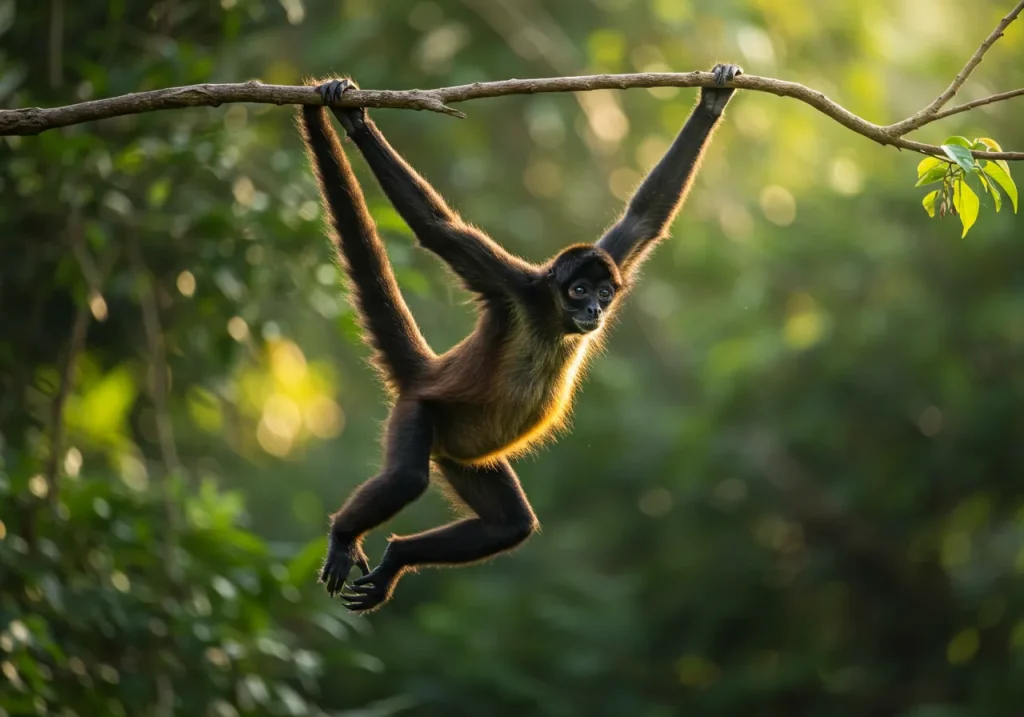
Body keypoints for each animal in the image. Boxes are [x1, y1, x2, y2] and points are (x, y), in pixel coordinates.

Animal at [297, 63, 741, 612]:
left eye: (602, 293)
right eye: (578, 291)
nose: (594, 310)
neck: (552, 317)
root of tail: (427, 371)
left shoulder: (611, 257)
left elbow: (644, 218)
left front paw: (713, 99)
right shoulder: (513, 287)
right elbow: (436, 229)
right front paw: (355, 121)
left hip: (461, 453)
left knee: (510, 525)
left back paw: (397, 558)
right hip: (423, 410)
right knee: (406, 478)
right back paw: (342, 535)